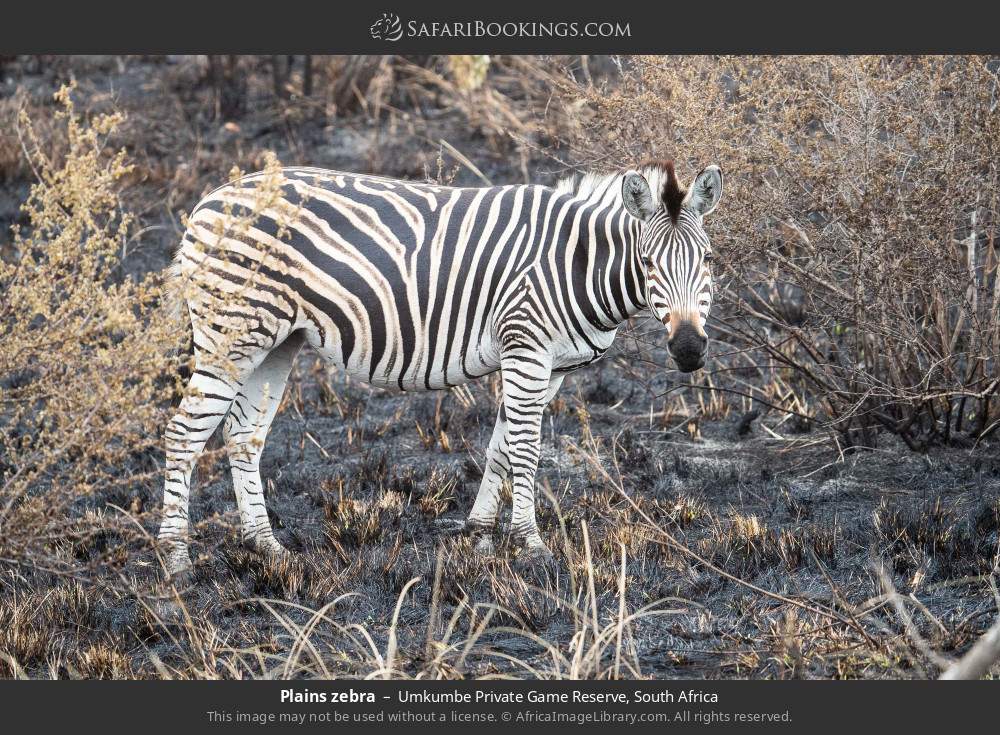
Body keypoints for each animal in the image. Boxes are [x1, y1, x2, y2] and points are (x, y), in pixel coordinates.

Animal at [157, 160, 722, 578]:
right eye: (648, 262)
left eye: (709, 261)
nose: (689, 348)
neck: (576, 262)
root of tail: (206, 202)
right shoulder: (525, 346)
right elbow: (525, 449)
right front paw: (530, 543)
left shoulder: (551, 365)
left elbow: (500, 447)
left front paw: (479, 533)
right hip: (230, 334)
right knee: (183, 433)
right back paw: (176, 561)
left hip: (275, 342)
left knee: (244, 435)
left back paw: (267, 547)